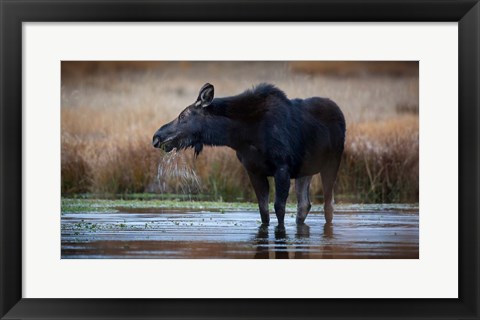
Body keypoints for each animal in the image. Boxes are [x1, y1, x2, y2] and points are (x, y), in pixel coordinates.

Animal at [154, 83, 344, 225]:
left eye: (183, 116)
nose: (157, 136)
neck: (242, 135)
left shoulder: (282, 167)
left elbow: (279, 208)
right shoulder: (253, 170)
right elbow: (263, 210)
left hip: (332, 162)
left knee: (328, 205)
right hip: (305, 170)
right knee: (304, 205)